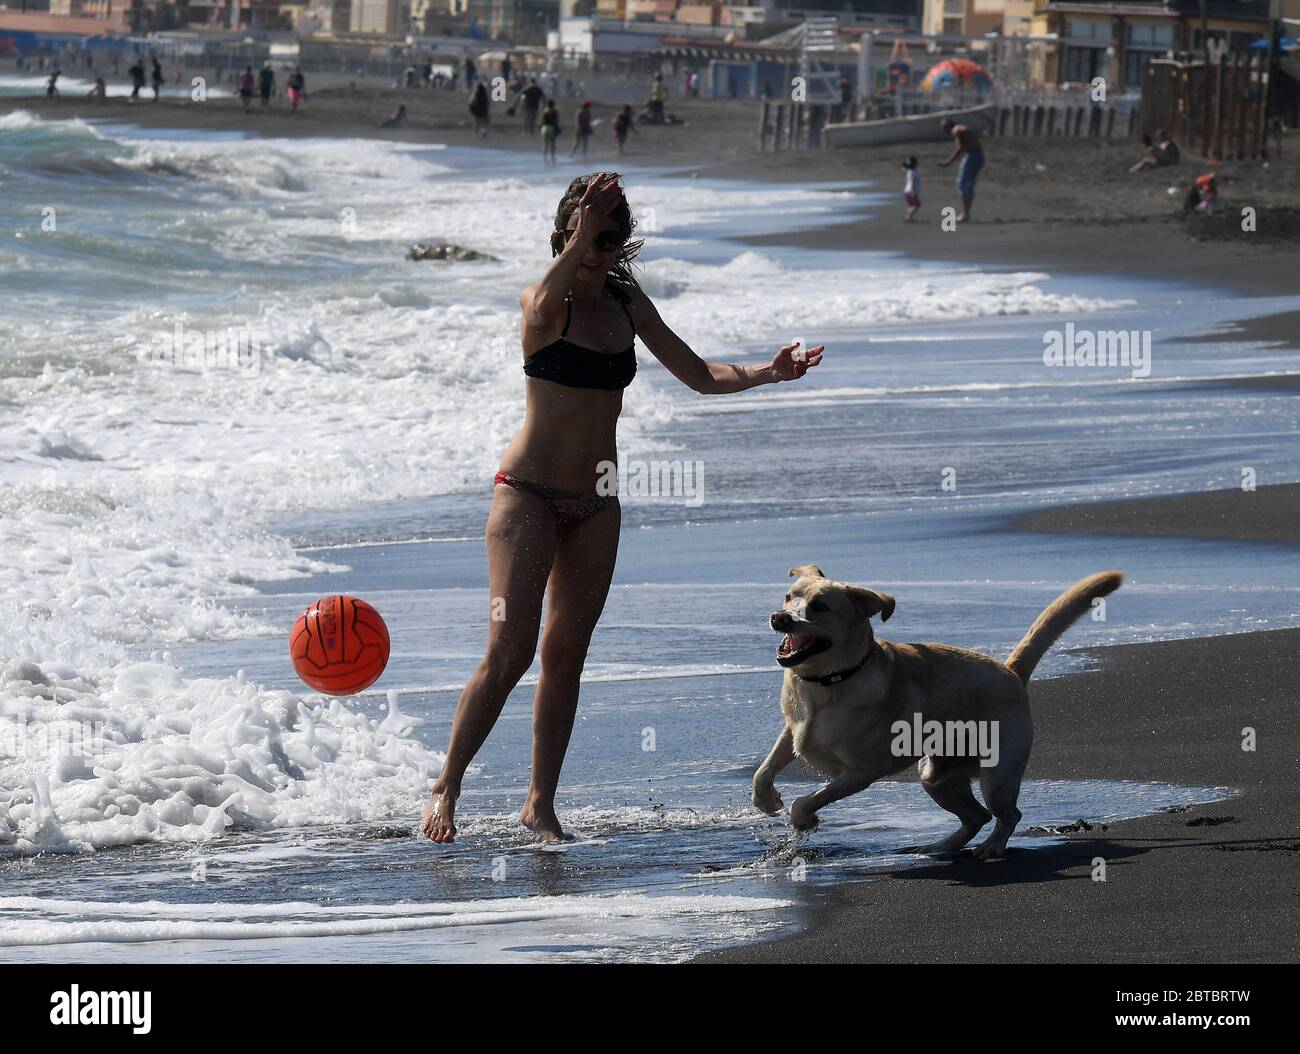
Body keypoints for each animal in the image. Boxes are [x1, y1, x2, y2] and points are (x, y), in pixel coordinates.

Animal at [759, 569, 1123, 857]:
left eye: (820, 607)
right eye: (789, 597)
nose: (780, 617)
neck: (828, 681)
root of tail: (1010, 670)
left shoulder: (862, 772)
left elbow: (807, 800)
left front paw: (804, 819)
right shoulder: (793, 729)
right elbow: (765, 769)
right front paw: (766, 800)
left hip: (997, 777)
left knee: (1007, 815)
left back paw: (992, 847)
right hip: (934, 776)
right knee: (977, 816)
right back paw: (938, 847)